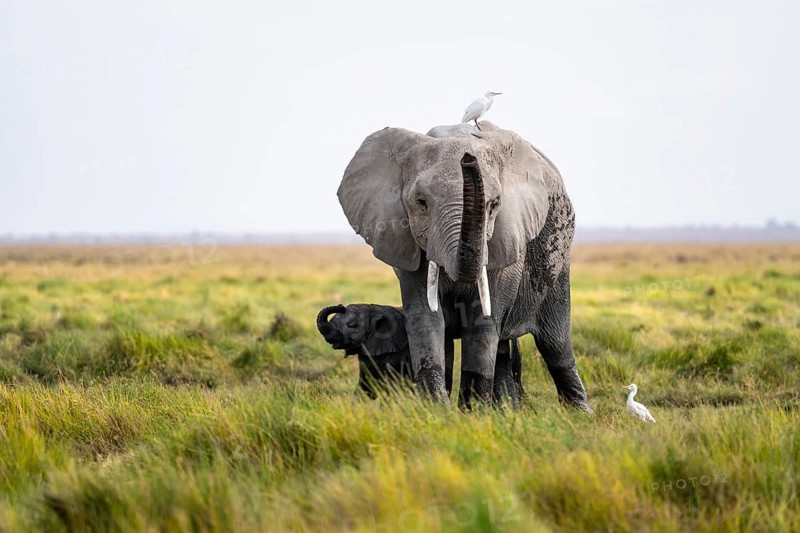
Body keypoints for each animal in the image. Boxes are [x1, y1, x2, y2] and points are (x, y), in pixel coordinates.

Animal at [337, 121, 590, 411]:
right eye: (421, 203)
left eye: (494, 205)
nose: (468, 159)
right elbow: (426, 317)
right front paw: (439, 412)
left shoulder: (506, 237)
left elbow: (483, 320)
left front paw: (473, 413)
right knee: (500, 349)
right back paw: (509, 411)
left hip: (558, 260)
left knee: (554, 344)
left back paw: (580, 414)